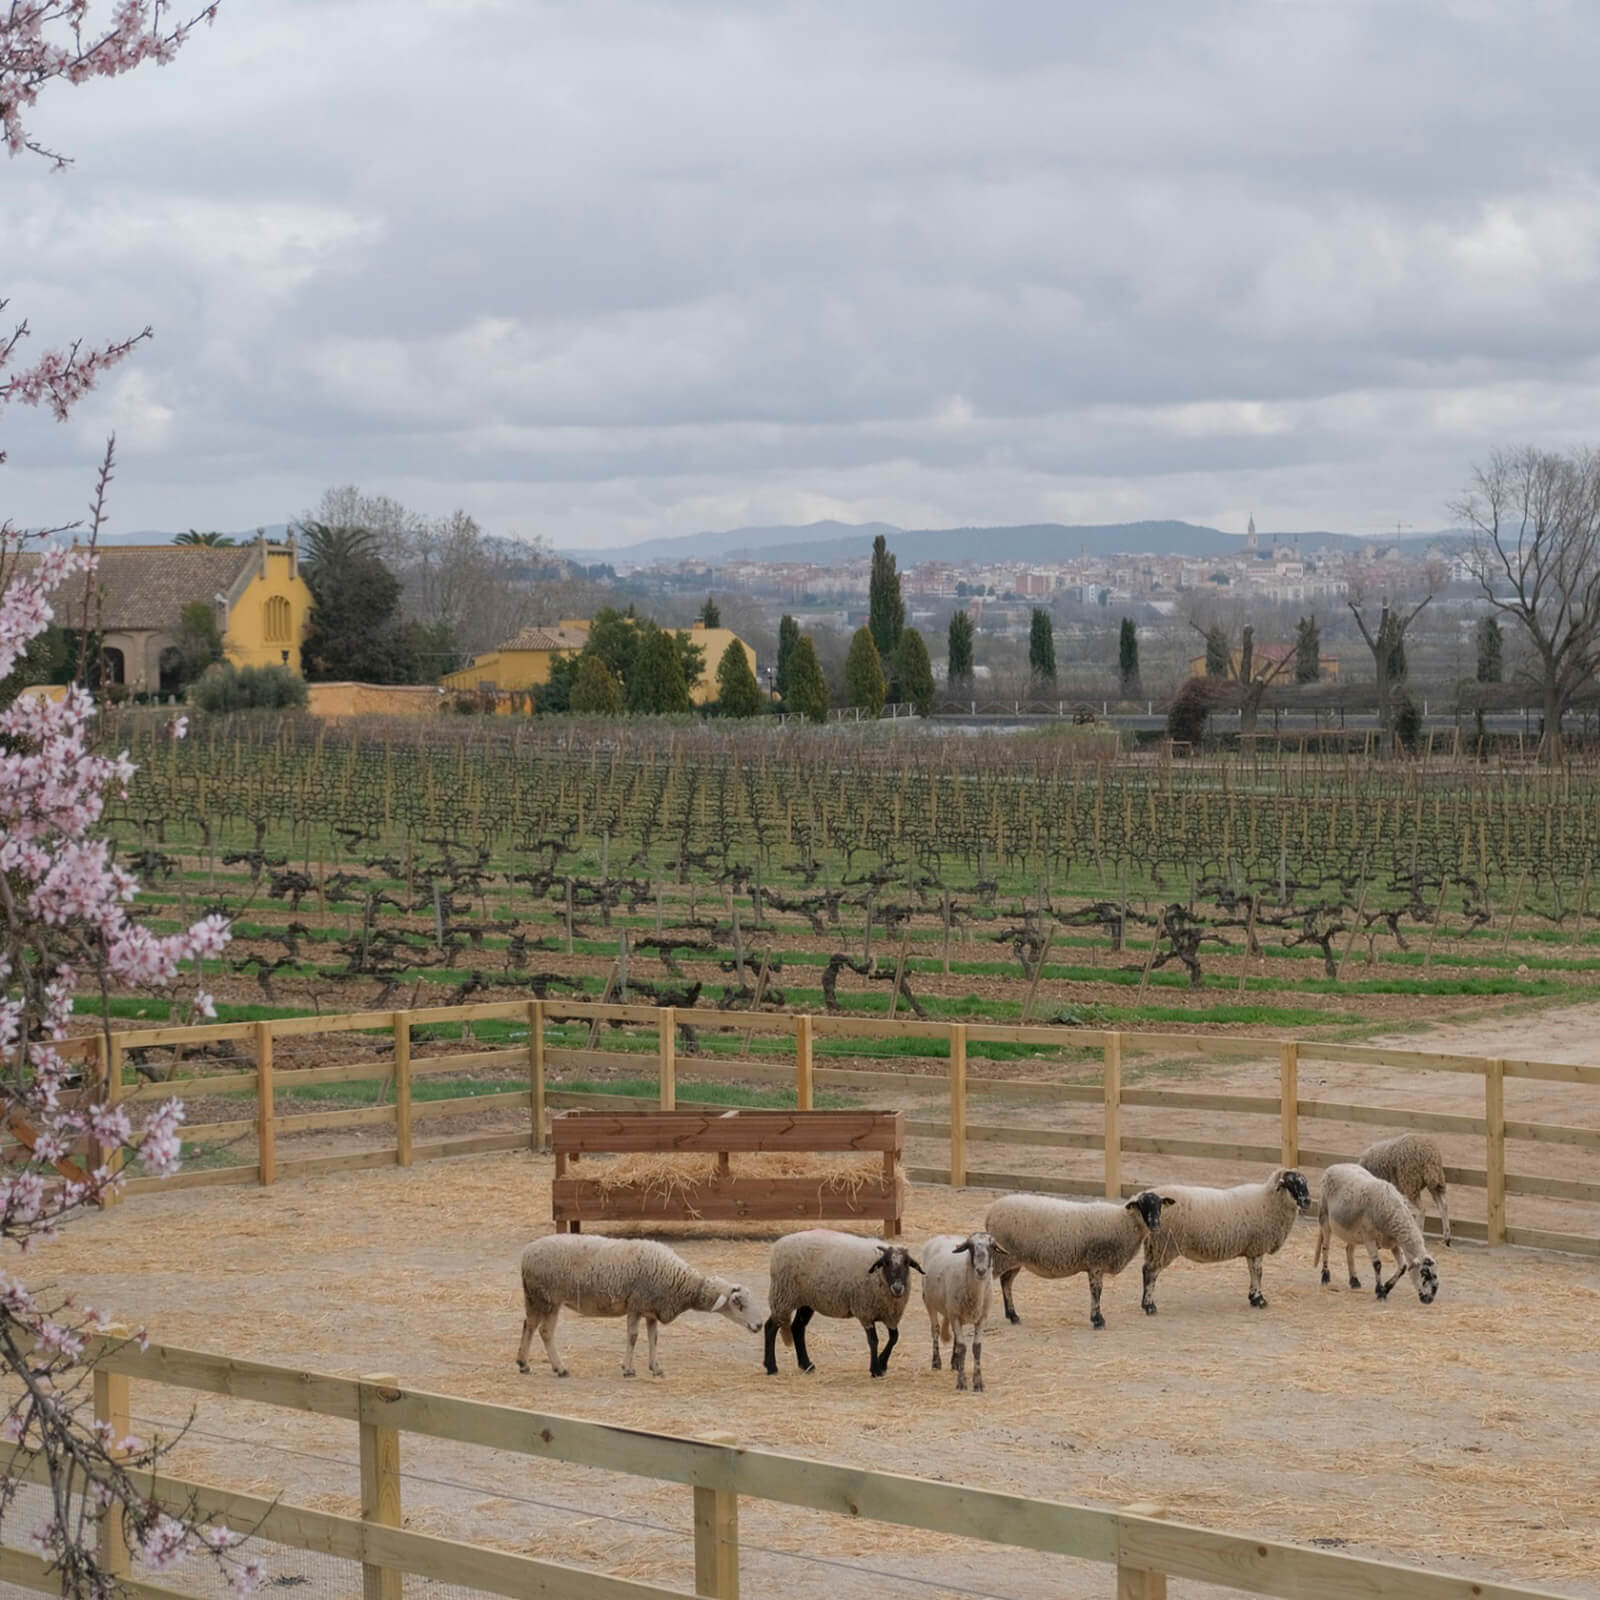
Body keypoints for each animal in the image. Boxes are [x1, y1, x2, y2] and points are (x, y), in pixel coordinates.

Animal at [512, 1228, 761, 1382]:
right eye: (738, 1304)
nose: (758, 1326)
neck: (680, 1282)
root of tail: (526, 1253)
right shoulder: (636, 1304)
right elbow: (633, 1337)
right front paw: (628, 1369)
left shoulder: (652, 1309)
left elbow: (653, 1338)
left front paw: (655, 1368)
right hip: (545, 1297)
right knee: (544, 1331)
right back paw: (560, 1368)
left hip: (540, 1299)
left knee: (531, 1326)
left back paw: (524, 1363)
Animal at [761, 1228, 928, 1382]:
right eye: (886, 1263)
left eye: (907, 1263)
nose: (898, 1288)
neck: (879, 1278)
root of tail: (779, 1244)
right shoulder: (865, 1311)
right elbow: (873, 1341)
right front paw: (875, 1369)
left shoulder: (890, 1315)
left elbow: (894, 1338)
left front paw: (882, 1363)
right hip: (783, 1296)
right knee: (770, 1327)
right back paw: (771, 1367)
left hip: (806, 1300)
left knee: (797, 1327)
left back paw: (806, 1365)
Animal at [979, 1196, 1171, 1331]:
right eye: (1142, 1205)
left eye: (1159, 1205)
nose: (1156, 1224)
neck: (1123, 1220)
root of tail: (990, 1213)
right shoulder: (1096, 1262)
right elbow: (1096, 1291)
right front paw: (1098, 1320)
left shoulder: (1095, 1264)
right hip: (1001, 1257)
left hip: (1013, 1259)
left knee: (1006, 1283)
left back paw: (1013, 1316)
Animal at [1139, 1164, 1312, 1312]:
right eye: (1290, 1183)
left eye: (1305, 1182)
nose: (1308, 1201)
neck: (1269, 1200)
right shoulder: (1258, 1246)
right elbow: (1258, 1272)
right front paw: (1260, 1299)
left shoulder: (1251, 1248)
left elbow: (1252, 1271)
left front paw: (1252, 1297)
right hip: (1164, 1244)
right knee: (1151, 1272)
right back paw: (1149, 1306)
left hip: (1153, 1245)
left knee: (1145, 1269)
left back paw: (1144, 1304)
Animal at [1318, 1171, 1446, 1305]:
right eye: (1424, 1273)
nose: (1429, 1299)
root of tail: (1332, 1168)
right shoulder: (1369, 1238)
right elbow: (1377, 1265)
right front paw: (1380, 1292)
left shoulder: (1394, 1243)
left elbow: (1403, 1267)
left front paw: (1386, 1288)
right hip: (1324, 1216)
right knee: (1326, 1247)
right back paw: (1325, 1277)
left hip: (1352, 1231)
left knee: (1349, 1250)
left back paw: (1354, 1281)